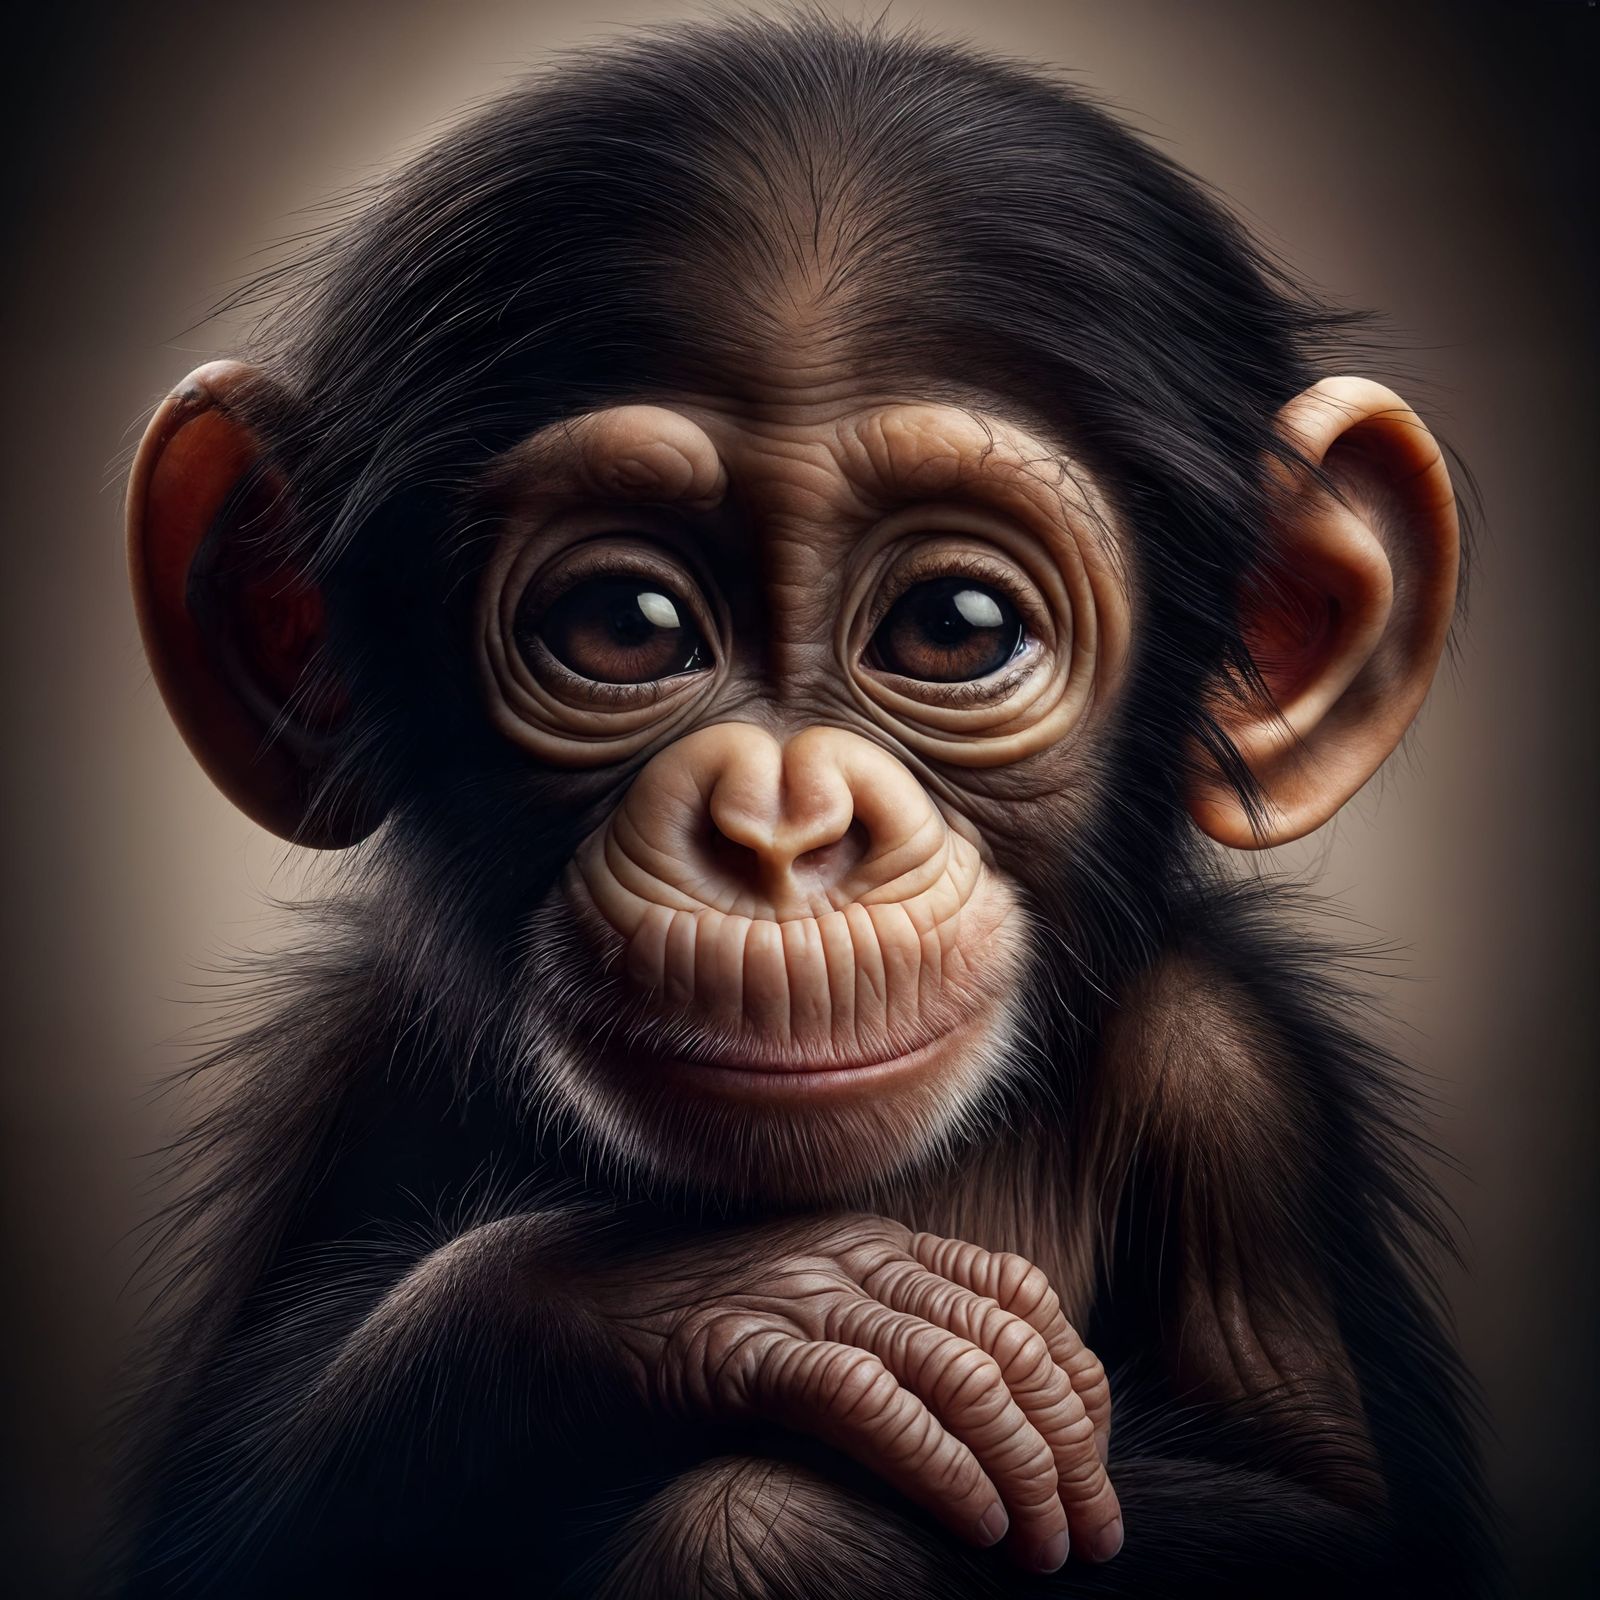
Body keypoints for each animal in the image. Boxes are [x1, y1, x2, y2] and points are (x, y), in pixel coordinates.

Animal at [108, 13, 1494, 1598]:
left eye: (954, 627)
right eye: (624, 625)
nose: (780, 828)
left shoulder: (1232, 1086)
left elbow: (1332, 1513)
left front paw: (767, 1496)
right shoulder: (340, 1067)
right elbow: (227, 1524)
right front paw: (749, 1299)